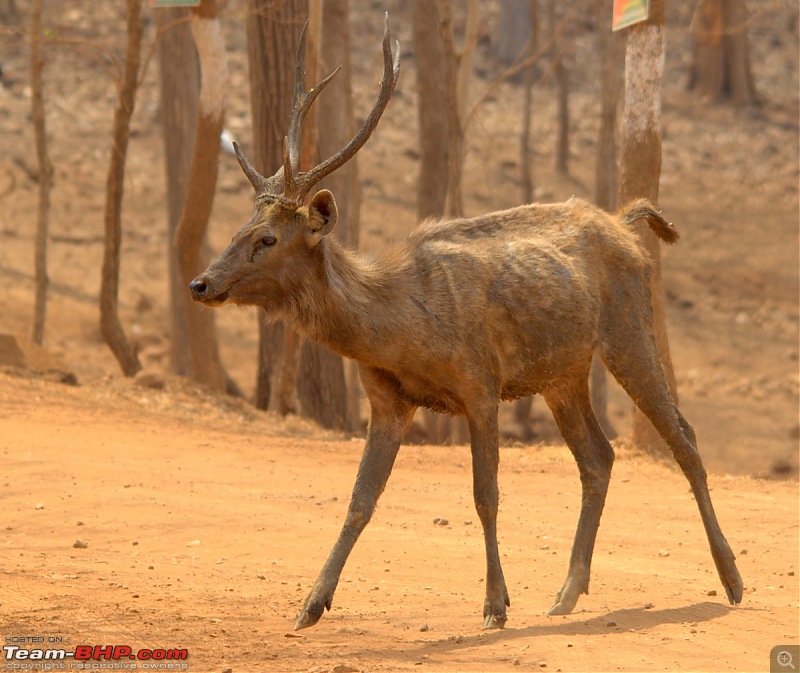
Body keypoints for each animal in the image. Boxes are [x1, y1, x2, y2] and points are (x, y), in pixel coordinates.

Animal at [189, 15, 744, 632]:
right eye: (238, 227)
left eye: (267, 239)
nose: (201, 284)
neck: (398, 329)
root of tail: (627, 224)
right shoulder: (386, 400)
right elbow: (360, 499)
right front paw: (310, 604)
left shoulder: (480, 382)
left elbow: (486, 494)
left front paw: (496, 604)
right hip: (563, 371)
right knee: (598, 457)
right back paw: (567, 593)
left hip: (629, 327)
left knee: (683, 436)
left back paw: (731, 579)